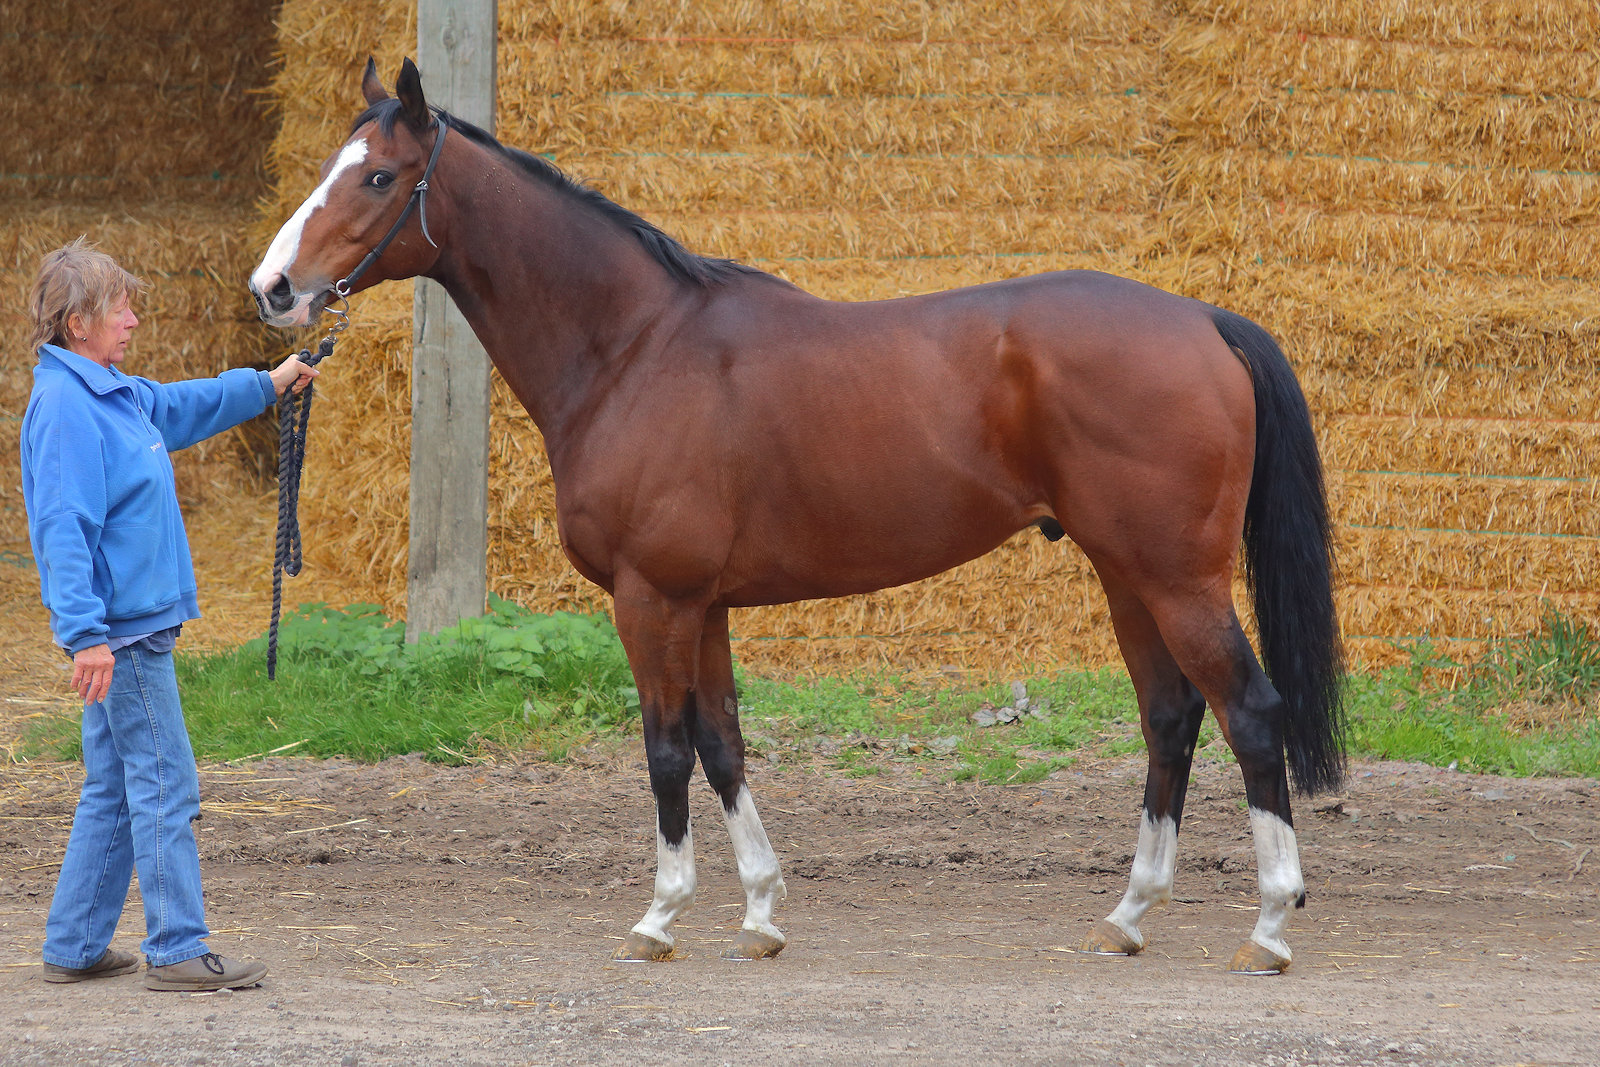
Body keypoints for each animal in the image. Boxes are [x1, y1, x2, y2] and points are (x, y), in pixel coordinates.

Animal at [249, 58, 1345, 975]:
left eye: (378, 178)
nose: (275, 289)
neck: (636, 347)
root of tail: (1203, 319)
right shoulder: (705, 602)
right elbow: (723, 743)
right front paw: (761, 914)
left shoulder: (653, 598)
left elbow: (664, 749)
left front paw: (660, 917)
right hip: (1126, 572)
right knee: (1170, 715)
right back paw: (1128, 914)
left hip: (1177, 576)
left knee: (1251, 712)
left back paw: (1268, 926)